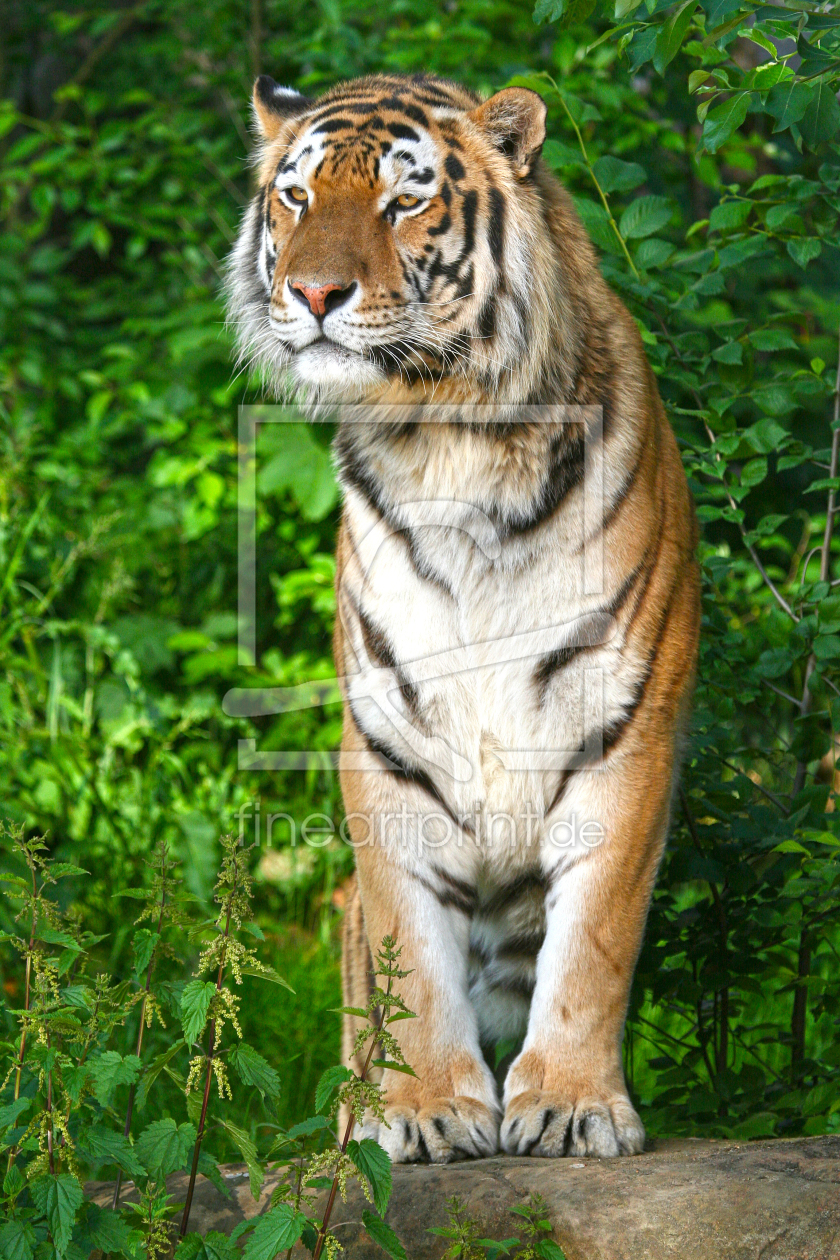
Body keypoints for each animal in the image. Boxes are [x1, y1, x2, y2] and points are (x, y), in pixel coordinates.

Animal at [226, 71, 700, 1159]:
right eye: (298, 198)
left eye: (403, 202)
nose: (314, 296)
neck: (444, 438)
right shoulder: (389, 741)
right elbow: (410, 949)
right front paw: (423, 1112)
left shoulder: (625, 728)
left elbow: (594, 943)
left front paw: (570, 1106)